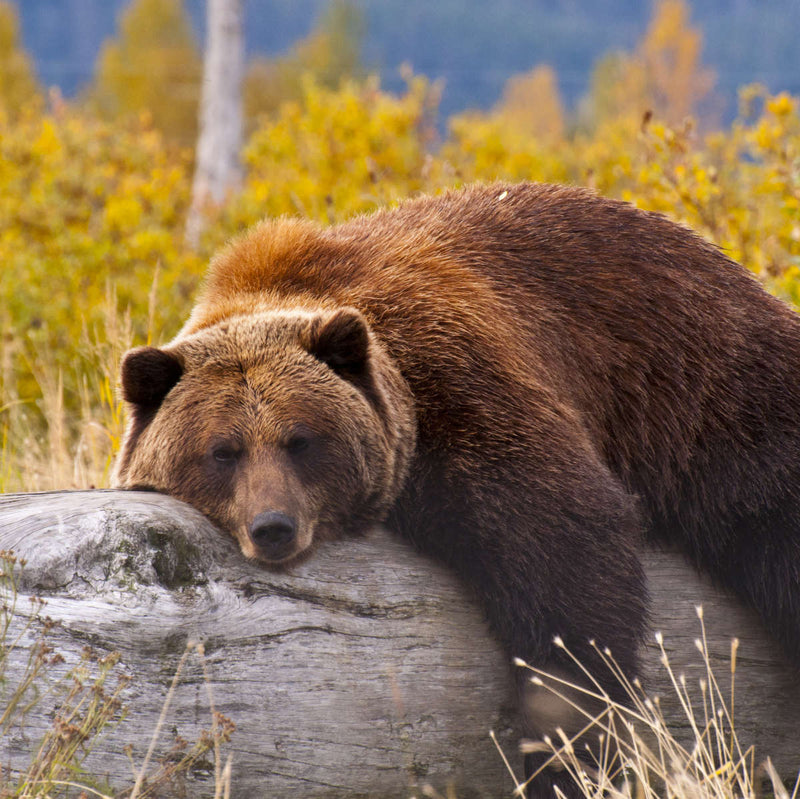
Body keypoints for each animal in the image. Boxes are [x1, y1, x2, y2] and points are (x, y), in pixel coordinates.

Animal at [111, 184, 800, 796]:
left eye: (300, 440)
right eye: (222, 451)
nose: (273, 527)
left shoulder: (461, 384)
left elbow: (566, 557)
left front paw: (567, 750)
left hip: (708, 391)